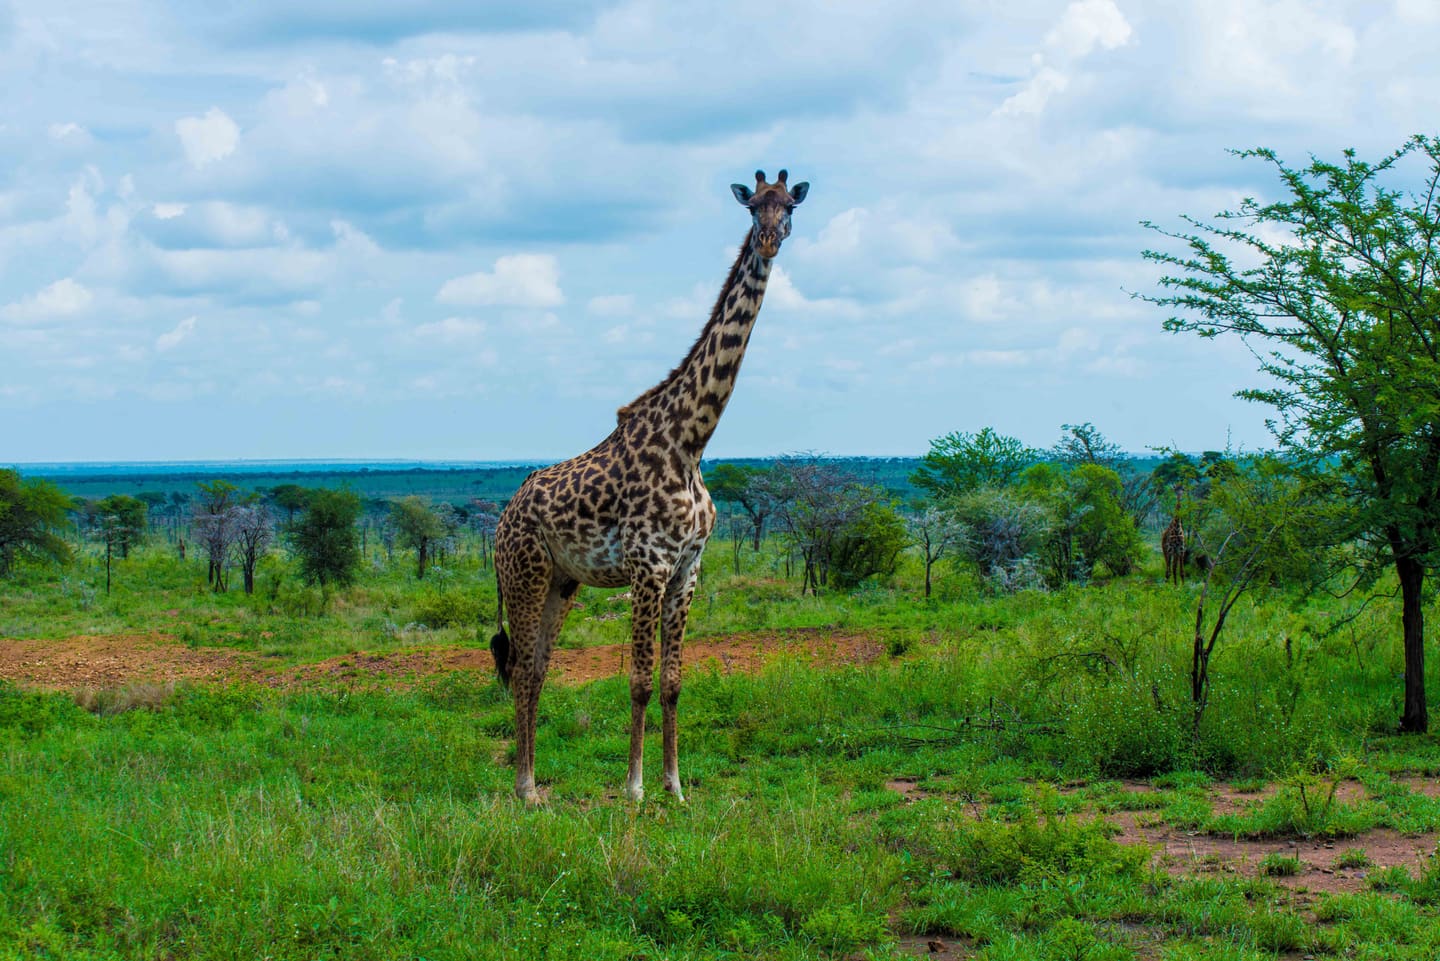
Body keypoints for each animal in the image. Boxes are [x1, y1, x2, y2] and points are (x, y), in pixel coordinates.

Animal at [490, 169, 810, 804]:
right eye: (753, 208)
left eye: (790, 206)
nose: (768, 241)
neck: (691, 440)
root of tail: (502, 518)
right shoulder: (647, 565)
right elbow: (638, 680)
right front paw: (634, 790)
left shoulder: (688, 570)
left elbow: (672, 682)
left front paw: (675, 787)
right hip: (524, 575)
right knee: (519, 668)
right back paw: (522, 786)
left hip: (562, 582)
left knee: (535, 668)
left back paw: (533, 787)